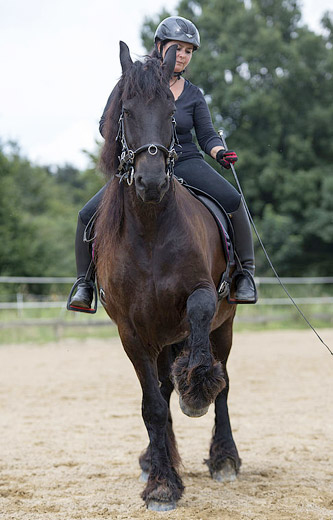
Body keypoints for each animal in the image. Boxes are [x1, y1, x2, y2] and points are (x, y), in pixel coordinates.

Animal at [94, 41, 240, 512]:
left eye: (172, 112)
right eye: (126, 110)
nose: (152, 181)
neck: (151, 227)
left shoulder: (203, 298)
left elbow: (197, 317)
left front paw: (197, 387)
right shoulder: (131, 331)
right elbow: (153, 406)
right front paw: (161, 484)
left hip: (225, 326)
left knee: (224, 383)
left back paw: (224, 458)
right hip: (157, 338)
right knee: (159, 389)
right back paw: (156, 459)